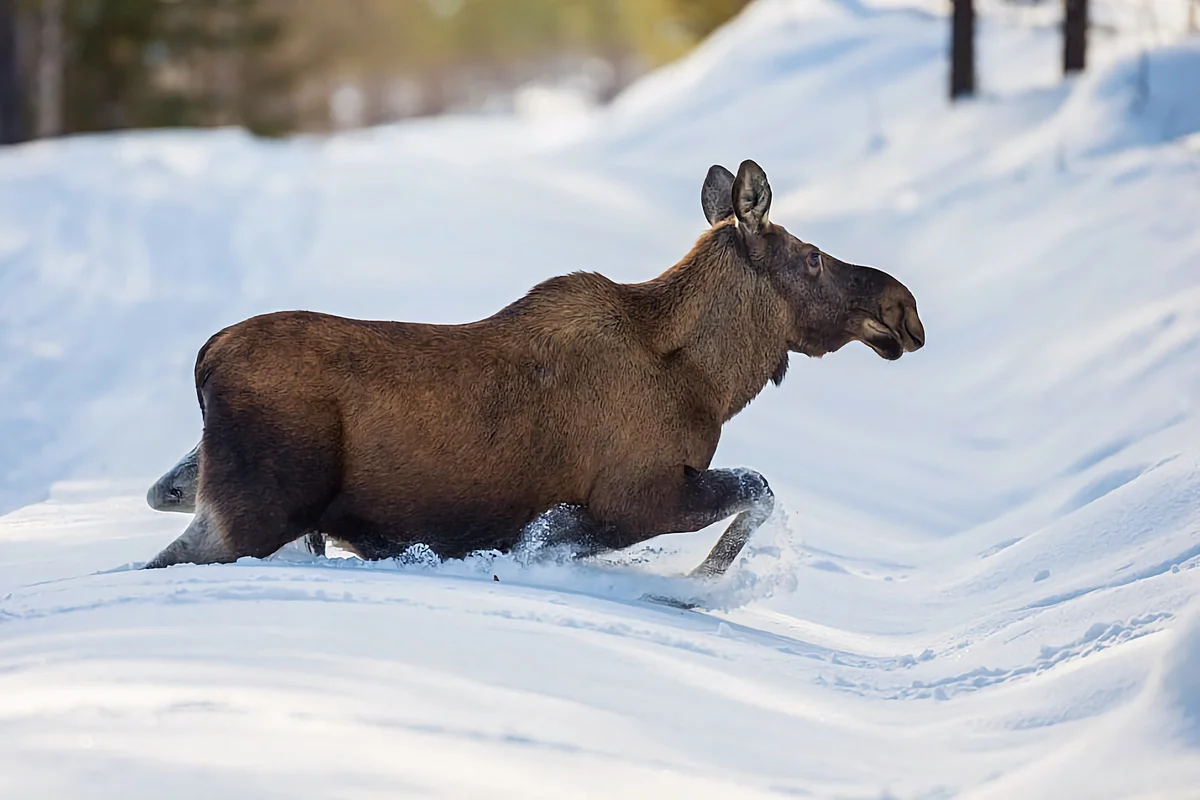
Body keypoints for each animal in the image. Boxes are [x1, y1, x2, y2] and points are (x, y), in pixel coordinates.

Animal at [142, 160, 926, 575]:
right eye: (813, 257)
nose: (904, 308)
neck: (710, 382)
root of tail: (206, 358)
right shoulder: (633, 497)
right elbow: (756, 489)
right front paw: (702, 584)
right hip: (253, 514)